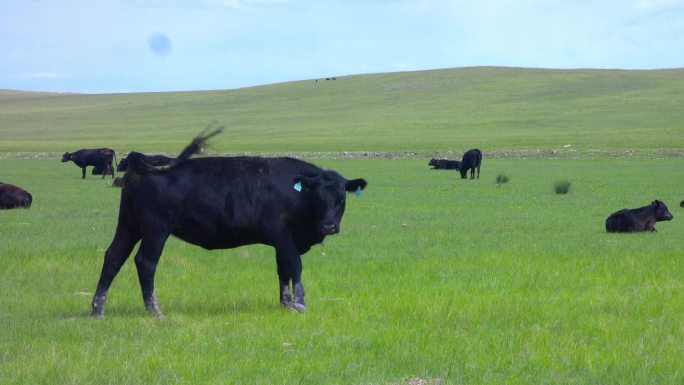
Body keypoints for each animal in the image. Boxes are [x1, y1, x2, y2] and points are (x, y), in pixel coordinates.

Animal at [93, 130, 368, 316]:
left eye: (341, 199)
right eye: (318, 198)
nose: (329, 226)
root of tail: (147, 159)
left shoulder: (281, 245)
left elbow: (283, 271)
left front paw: (286, 304)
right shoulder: (284, 237)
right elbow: (295, 268)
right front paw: (300, 305)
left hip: (129, 224)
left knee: (113, 256)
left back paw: (98, 309)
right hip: (156, 229)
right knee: (145, 262)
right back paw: (155, 310)